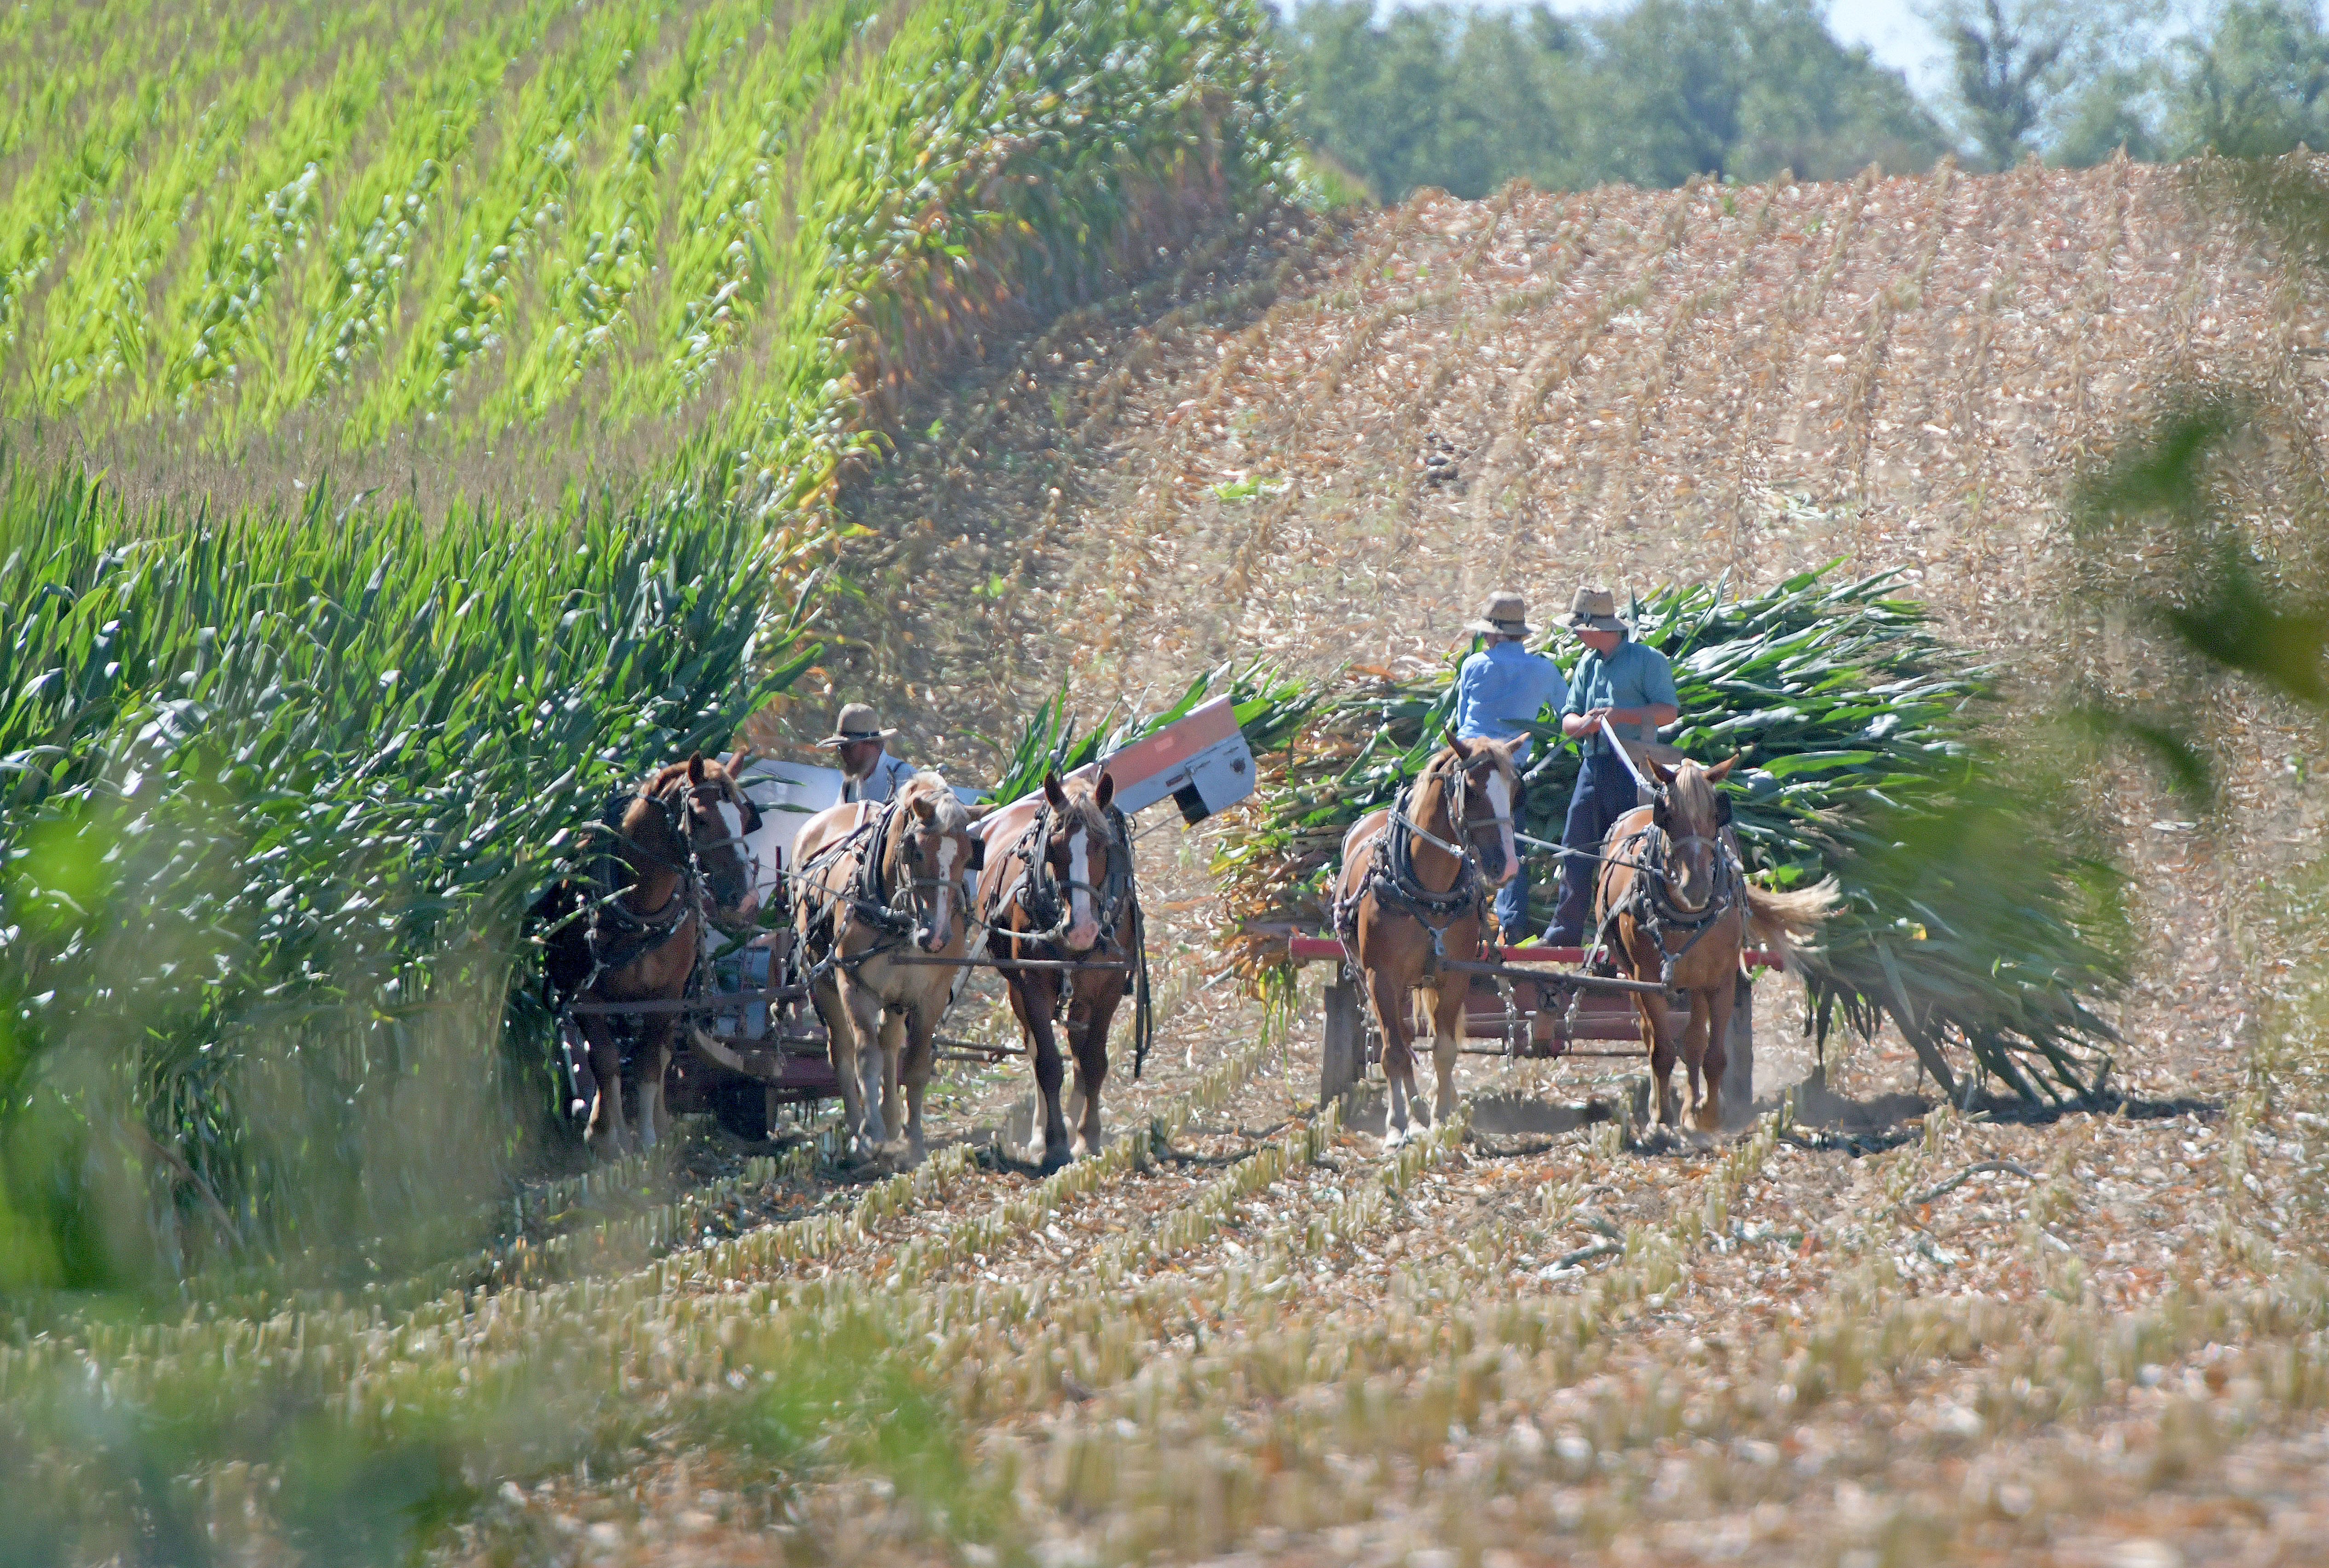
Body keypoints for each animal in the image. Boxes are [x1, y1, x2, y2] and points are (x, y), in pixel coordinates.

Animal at [538, 750, 759, 1155]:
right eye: (700, 818)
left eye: (744, 816)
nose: (748, 901)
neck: (638, 908)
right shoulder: (586, 997)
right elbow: (605, 1062)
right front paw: (609, 1138)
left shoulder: (667, 997)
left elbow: (649, 1064)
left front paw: (649, 1139)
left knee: (664, 1052)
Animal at [792, 769, 992, 1160]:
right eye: (917, 850)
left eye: (967, 855)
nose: (937, 937)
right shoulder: (856, 986)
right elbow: (865, 1057)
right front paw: (871, 1134)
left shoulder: (931, 995)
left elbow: (914, 1066)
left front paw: (913, 1141)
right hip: (823, 979)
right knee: (843, 1051)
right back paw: (861, 1128)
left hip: (898, 996)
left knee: (890, 1043)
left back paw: (892, 1117)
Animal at [968, 764, 1141, 1170]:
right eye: (1055, 848)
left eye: (1103, 845)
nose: (1082, 929)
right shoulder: (1032, 981)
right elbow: (1047, 1063)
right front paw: (1056, 1144)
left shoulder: (1109, 985)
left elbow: (1093, 1062)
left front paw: (1088, 1137)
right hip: (1018, 986)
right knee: (1035, 1048)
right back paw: (1040, 1133)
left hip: (1083, 993)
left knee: (1078, 1050)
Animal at [1332, 726, 1528, 1141]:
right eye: (1472, 792)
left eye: (1516, 791)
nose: (1507, 867)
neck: (1428, 891)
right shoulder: (1380, 976)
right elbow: (1393, 1051)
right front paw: (1397, 1125)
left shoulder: (1455, 976)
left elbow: (1445, 1049)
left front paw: (1442, 1115)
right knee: (1400, 1041)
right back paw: (1411, 1108)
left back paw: (1428, 1105)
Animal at [1602, 750, 1835, 1132]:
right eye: (1667, 816)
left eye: (1717, 814)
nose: (1696, 888)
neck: (1685, 915)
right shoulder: (1646, 978)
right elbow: (1661, 1050)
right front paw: (1661, 1118)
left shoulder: (1722, 980)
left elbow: (1713, 1054)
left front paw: (1708, 1115)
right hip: (1632, 972)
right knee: (1652, 1034)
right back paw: (1661, 1105)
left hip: (1696, 981)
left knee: (1695, 1041)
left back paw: (1692, 1107)